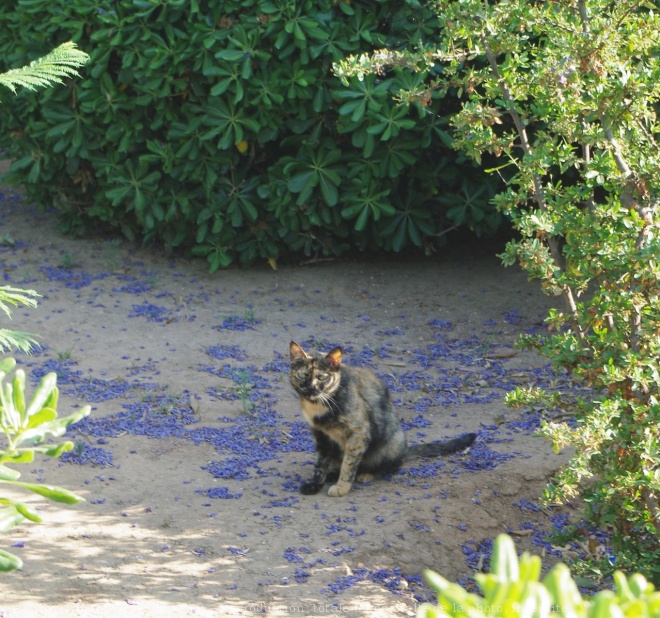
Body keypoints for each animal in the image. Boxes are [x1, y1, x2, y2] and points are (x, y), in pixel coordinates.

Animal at [288, 342, 474, 496]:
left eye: (322, 377)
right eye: (303, 375)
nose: (310, 389)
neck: (320, 405)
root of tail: (405, 450)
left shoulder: (359, 433)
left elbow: (349, 464)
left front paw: (342, 487)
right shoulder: (321, 435)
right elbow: (320, 463)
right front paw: (315, 484)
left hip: (393, 440)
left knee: (391, 466)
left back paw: (366, 474)